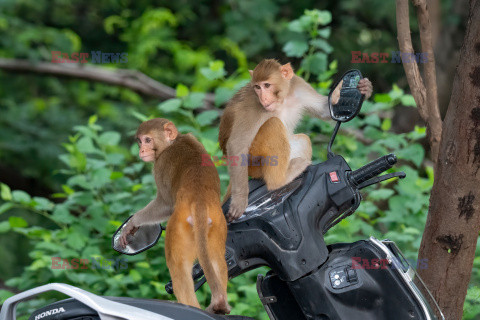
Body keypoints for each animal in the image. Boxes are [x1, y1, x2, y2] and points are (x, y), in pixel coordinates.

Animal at [120, 119, 232, 316]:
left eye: (148, 140)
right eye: (140, 141)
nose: (142, 151)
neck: (172, 143)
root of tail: (199, 202)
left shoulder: (160, 165)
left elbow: (165, 204)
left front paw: (132, 223)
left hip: (178, 226)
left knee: (178, 266)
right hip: (218, 225)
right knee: (217, 261)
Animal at [219, 58, 374, 221]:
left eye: (266, 85)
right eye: (257, 87)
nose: (263, 97)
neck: (282, 99)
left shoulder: (298, 85)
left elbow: (324, 111)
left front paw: (363, 88)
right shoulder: (252, 105)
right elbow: (237, 144)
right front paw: (240, 200)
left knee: (303, 138)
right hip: (253, 162)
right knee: (273, 124)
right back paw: (279, 181)